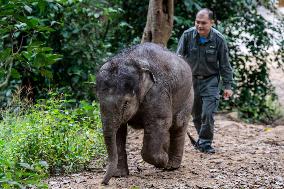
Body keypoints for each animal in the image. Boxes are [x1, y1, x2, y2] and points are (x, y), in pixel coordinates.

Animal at [96, 41, 193, 185]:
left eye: (126, 103)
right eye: (98, 100)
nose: (104, 183)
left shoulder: (158, 92)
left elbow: (159, 122)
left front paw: (163, 162)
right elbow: (119, 132)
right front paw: (119, 175)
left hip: (188, 96)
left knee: (178, 125)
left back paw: (171, 166)